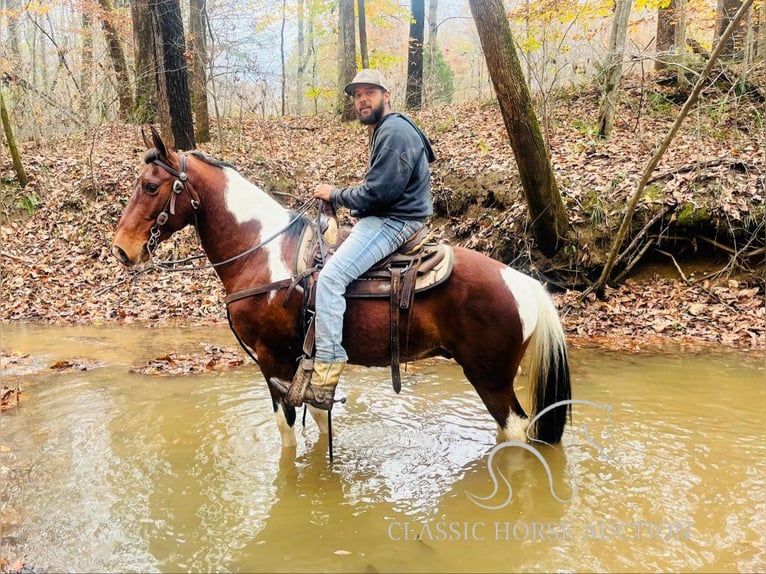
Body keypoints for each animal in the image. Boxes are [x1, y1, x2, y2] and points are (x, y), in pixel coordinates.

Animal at [111, 128, 572, 456]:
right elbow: (317, 419)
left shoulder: (272, 359)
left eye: (150, 186)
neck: (261, 252)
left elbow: (286, 431)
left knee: (515, 429)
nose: (121, 249)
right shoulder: (305, 365)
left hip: (489, 376)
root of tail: (525, 284)